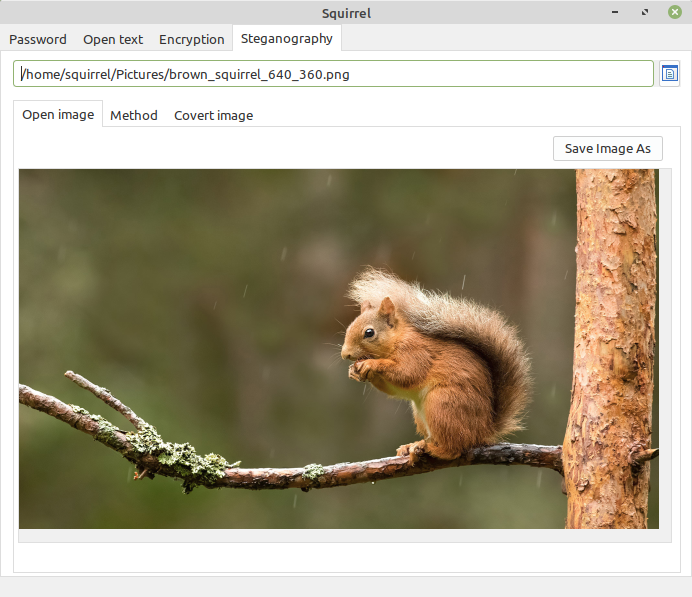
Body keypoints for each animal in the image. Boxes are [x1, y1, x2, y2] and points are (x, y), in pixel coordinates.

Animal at [340, 268, 531, 462]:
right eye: (349, 327)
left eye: (369, 333)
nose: (345, 354)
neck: (397, 339)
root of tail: (482, 432)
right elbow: (396, 389)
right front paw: (354, 372)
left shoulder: (416, 352)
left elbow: (407, 374)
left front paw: (371, 364)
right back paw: (413, 445)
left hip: (442, 404)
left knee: (454, 448)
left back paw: (432, 449)